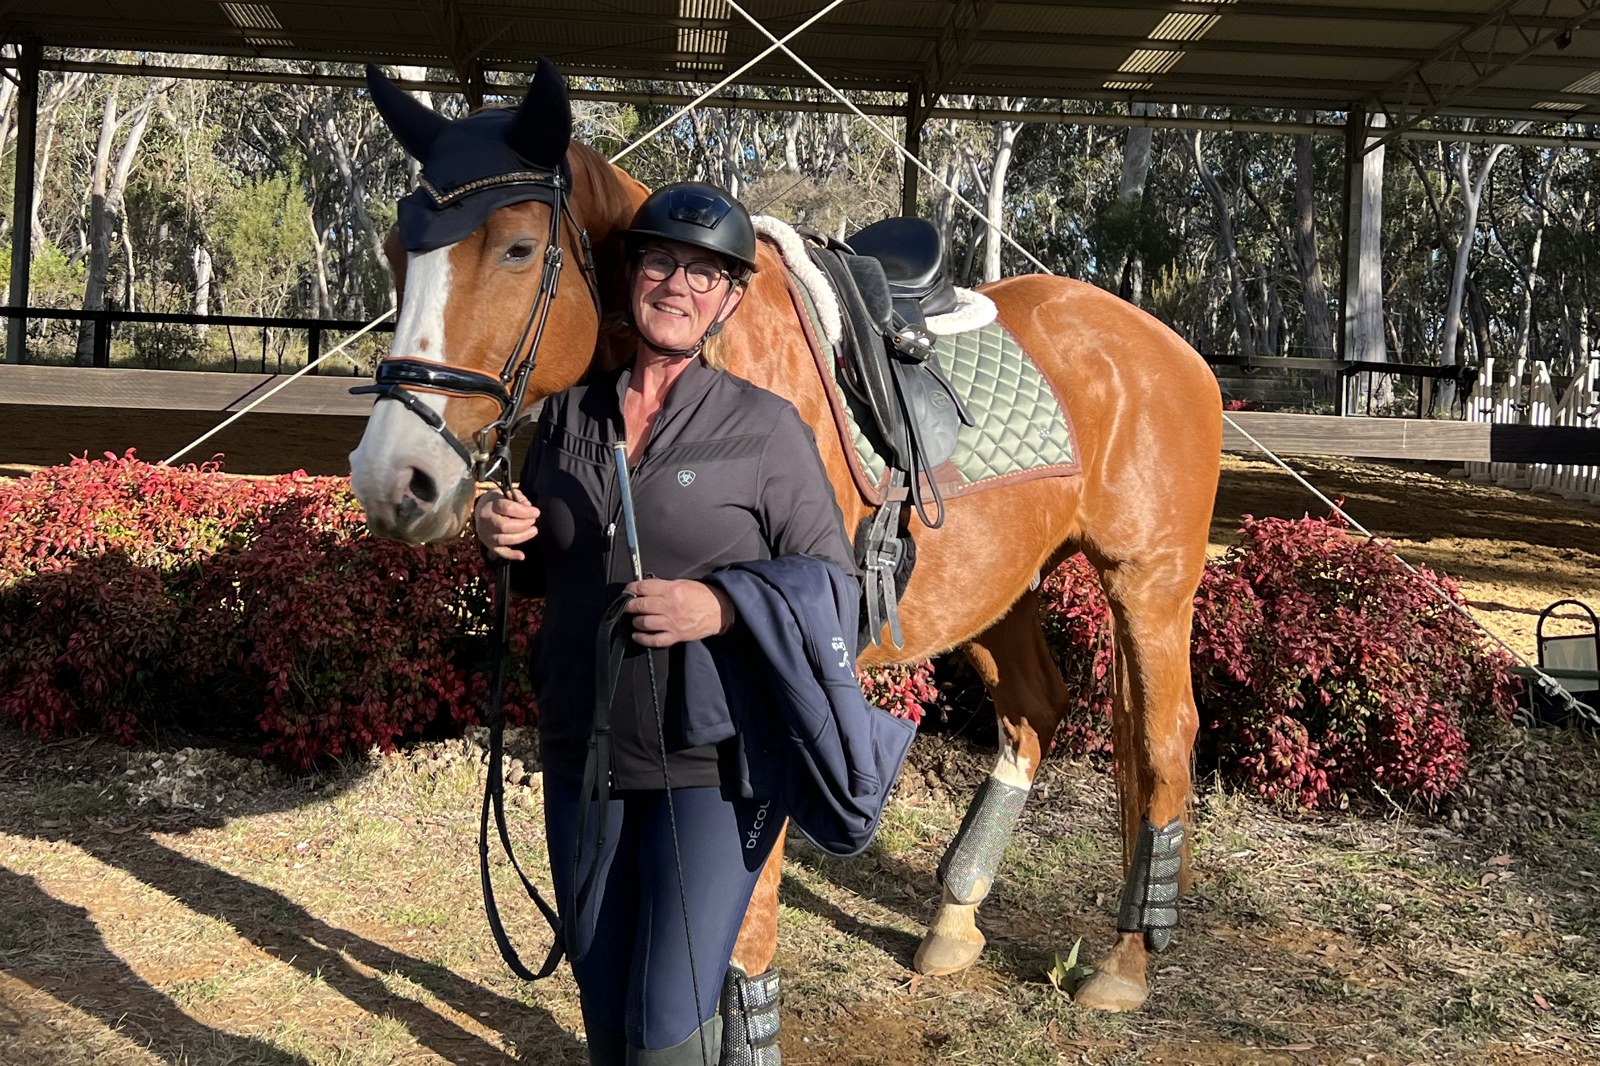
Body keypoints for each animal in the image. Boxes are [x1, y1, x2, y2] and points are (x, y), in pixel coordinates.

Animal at [348, 60, 1222, 1015]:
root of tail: (1164, 344)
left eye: (514, 249)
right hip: (999, 590)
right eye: (395, 252)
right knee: (1036, 710)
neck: (715, 353)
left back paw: (1127, 959)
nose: (394, 480)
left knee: (1164, 740)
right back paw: (955, 921)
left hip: (1149, 582)